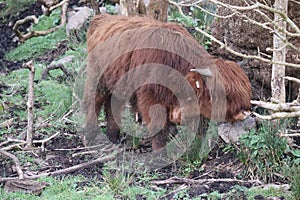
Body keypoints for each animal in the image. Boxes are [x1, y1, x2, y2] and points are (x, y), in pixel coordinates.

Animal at [81, 14, 251, 150]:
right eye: (223, 93)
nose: (245, 112)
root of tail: (102, 19)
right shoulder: (150, 97)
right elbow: (158, 126)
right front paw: (159, 153)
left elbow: (199, 129)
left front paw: (196, 149)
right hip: (98, 79)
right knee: (93, 101)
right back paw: (90, 136)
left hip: (119, 84)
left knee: (112, 106)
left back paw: (113, 137)